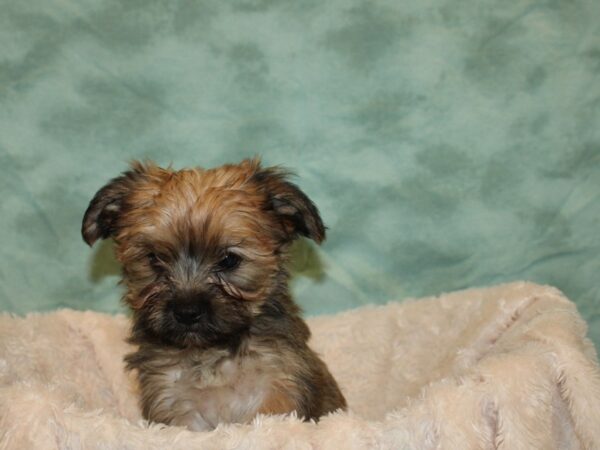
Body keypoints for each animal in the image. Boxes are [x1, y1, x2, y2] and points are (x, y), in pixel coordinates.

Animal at [82, 158, 350, 428]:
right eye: (154, 259)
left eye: (229, 260)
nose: (187, 312)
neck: (211, 352)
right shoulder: (171, 399)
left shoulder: (278, 390)